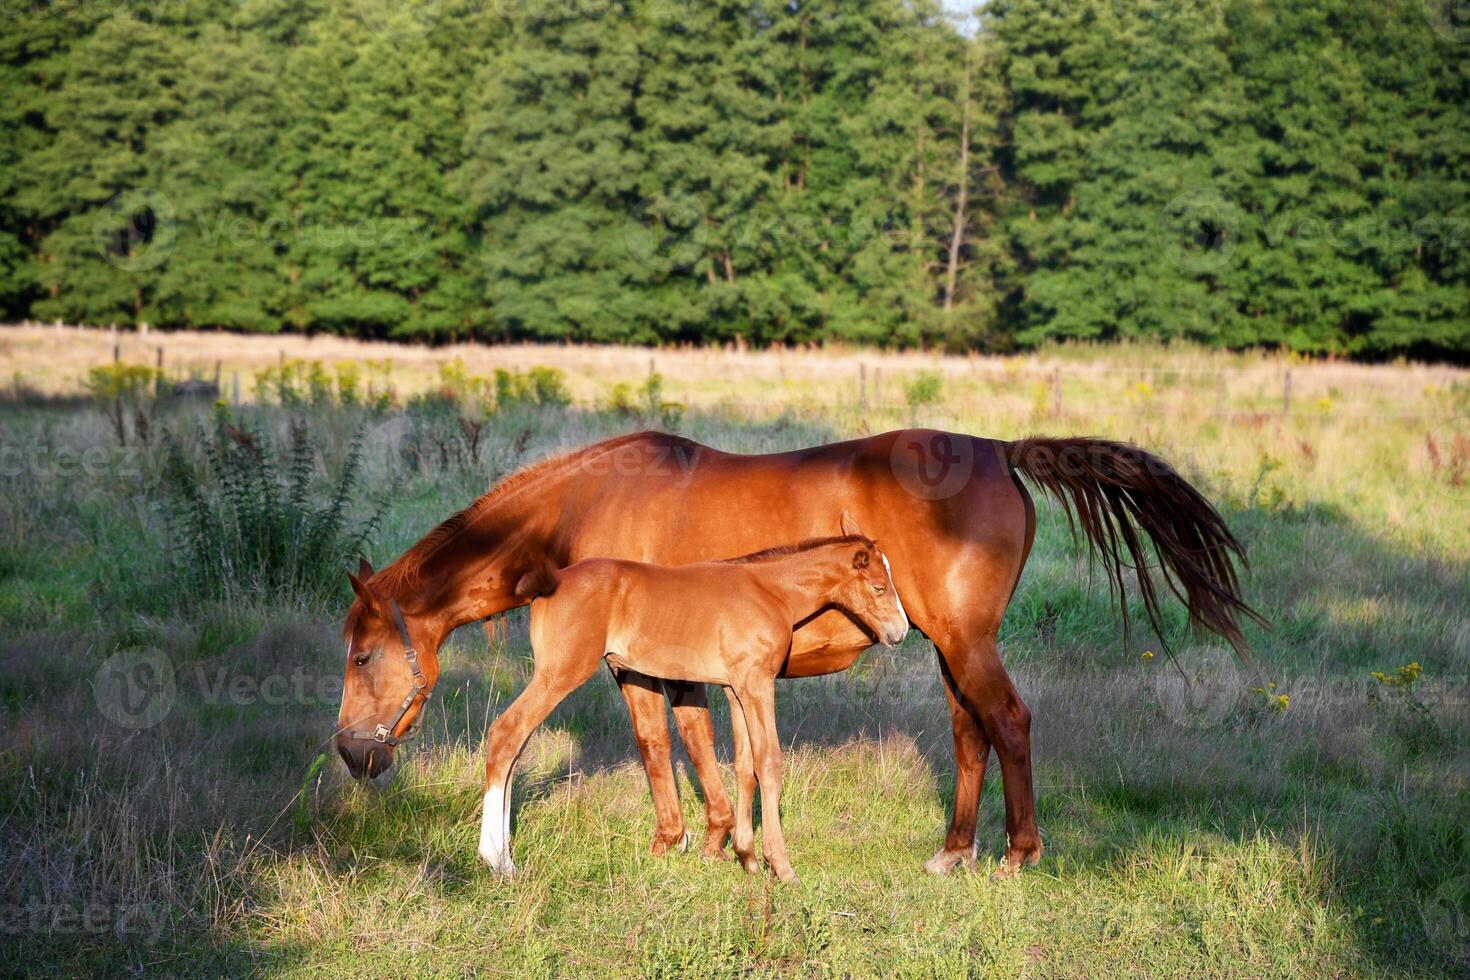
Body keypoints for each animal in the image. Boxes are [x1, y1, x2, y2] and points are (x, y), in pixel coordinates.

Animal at [476, 531, 905, 887]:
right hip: (561, 673)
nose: (899, 632)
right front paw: (781, 867)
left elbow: (744, 765)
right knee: (506, 735)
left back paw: (503, 855)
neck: (767, 592)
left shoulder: (735, 689)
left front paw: (747, 858)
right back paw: (498, 860)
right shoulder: (757, 684)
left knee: (514, 748)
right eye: (879, 587)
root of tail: (547, 585)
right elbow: (768, 763)